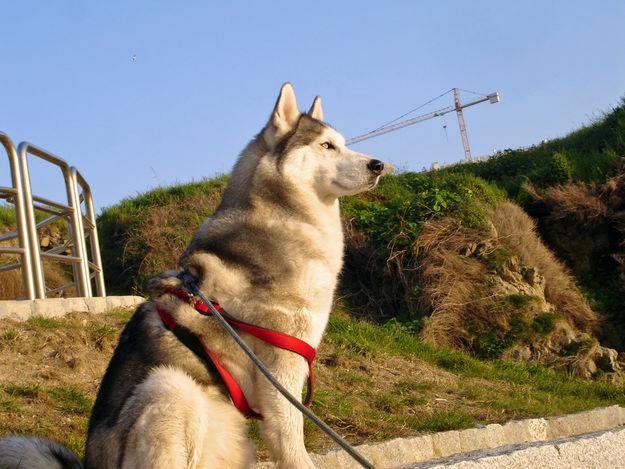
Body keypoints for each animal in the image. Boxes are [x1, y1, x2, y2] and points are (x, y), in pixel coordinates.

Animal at [0, 82, 388, 466]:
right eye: (326, 145)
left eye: (344, 143)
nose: (379, 165)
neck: (284, 217)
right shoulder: (281, 368)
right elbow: (292, 441)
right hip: (169, 388)